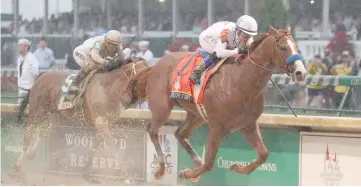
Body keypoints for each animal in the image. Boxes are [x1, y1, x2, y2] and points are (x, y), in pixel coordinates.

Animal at [12, 58, 148, 183]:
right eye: (142, 73)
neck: (108, 88)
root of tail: (41, 77)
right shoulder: (101, 122)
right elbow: (114, 147)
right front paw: (128, 177)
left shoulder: (104, 124)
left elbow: (94, 147)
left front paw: (86, 172)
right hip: (37, 111)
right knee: (28, 135)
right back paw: (18, 166)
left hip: (57, 115)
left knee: (43, 131)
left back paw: (31, 153)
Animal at [128, 25, 306, 182]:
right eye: (283, 47)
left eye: (297, 47)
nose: (301, 72)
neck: (239, 81)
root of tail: (156, 64)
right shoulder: (216, 127)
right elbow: (209, 163)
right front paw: (187, 173)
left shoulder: (247, 125)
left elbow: (263, 154)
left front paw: (237, 168)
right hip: (162, 108)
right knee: (152, 130)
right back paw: (161, 169)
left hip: (197, 115)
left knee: (180, 133)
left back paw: (195, 163)